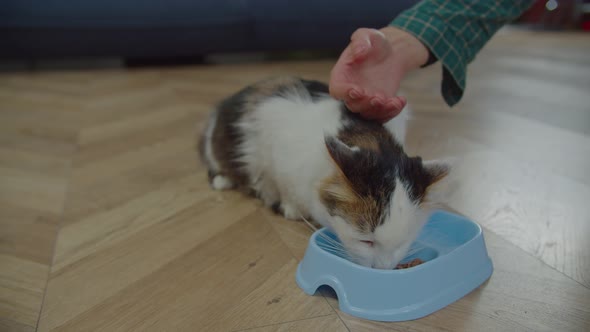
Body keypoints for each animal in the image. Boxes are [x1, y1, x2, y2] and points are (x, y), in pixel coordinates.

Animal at [199, 76, 454, 270]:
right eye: (366, 241)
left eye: (404, 242)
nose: (382, 269)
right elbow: (282, 186)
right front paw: (290, 208)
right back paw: (224, 180)